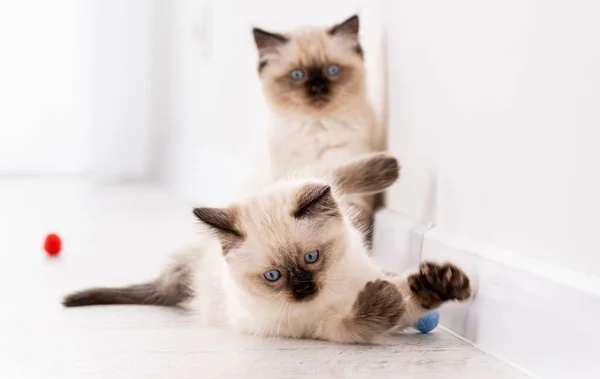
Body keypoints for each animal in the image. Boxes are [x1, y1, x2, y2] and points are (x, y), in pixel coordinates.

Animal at [63, 154, 472, 344]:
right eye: (273, 276)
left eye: (312, 258)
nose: (304, 289)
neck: (337, 289)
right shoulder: (323, 328)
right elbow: (365, 318)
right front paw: (383, 298)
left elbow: (415, 295)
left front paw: (441, 283)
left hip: (285, 187)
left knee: (323, 175)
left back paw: (385, 166)